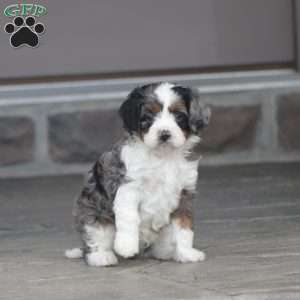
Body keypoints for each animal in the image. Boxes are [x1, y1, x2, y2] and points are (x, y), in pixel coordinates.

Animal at [65, 82, 211, 268]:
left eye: (179, 116)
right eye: (148, 117)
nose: (164, 134)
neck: (163, 156)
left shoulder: (185, 194)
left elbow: (184, 227)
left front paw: (186, 253)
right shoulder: (129, 186)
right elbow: (129, 217)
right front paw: (126, 246)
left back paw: (166, 251)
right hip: (93, 214)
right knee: (96, 236)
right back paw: (102, 256)